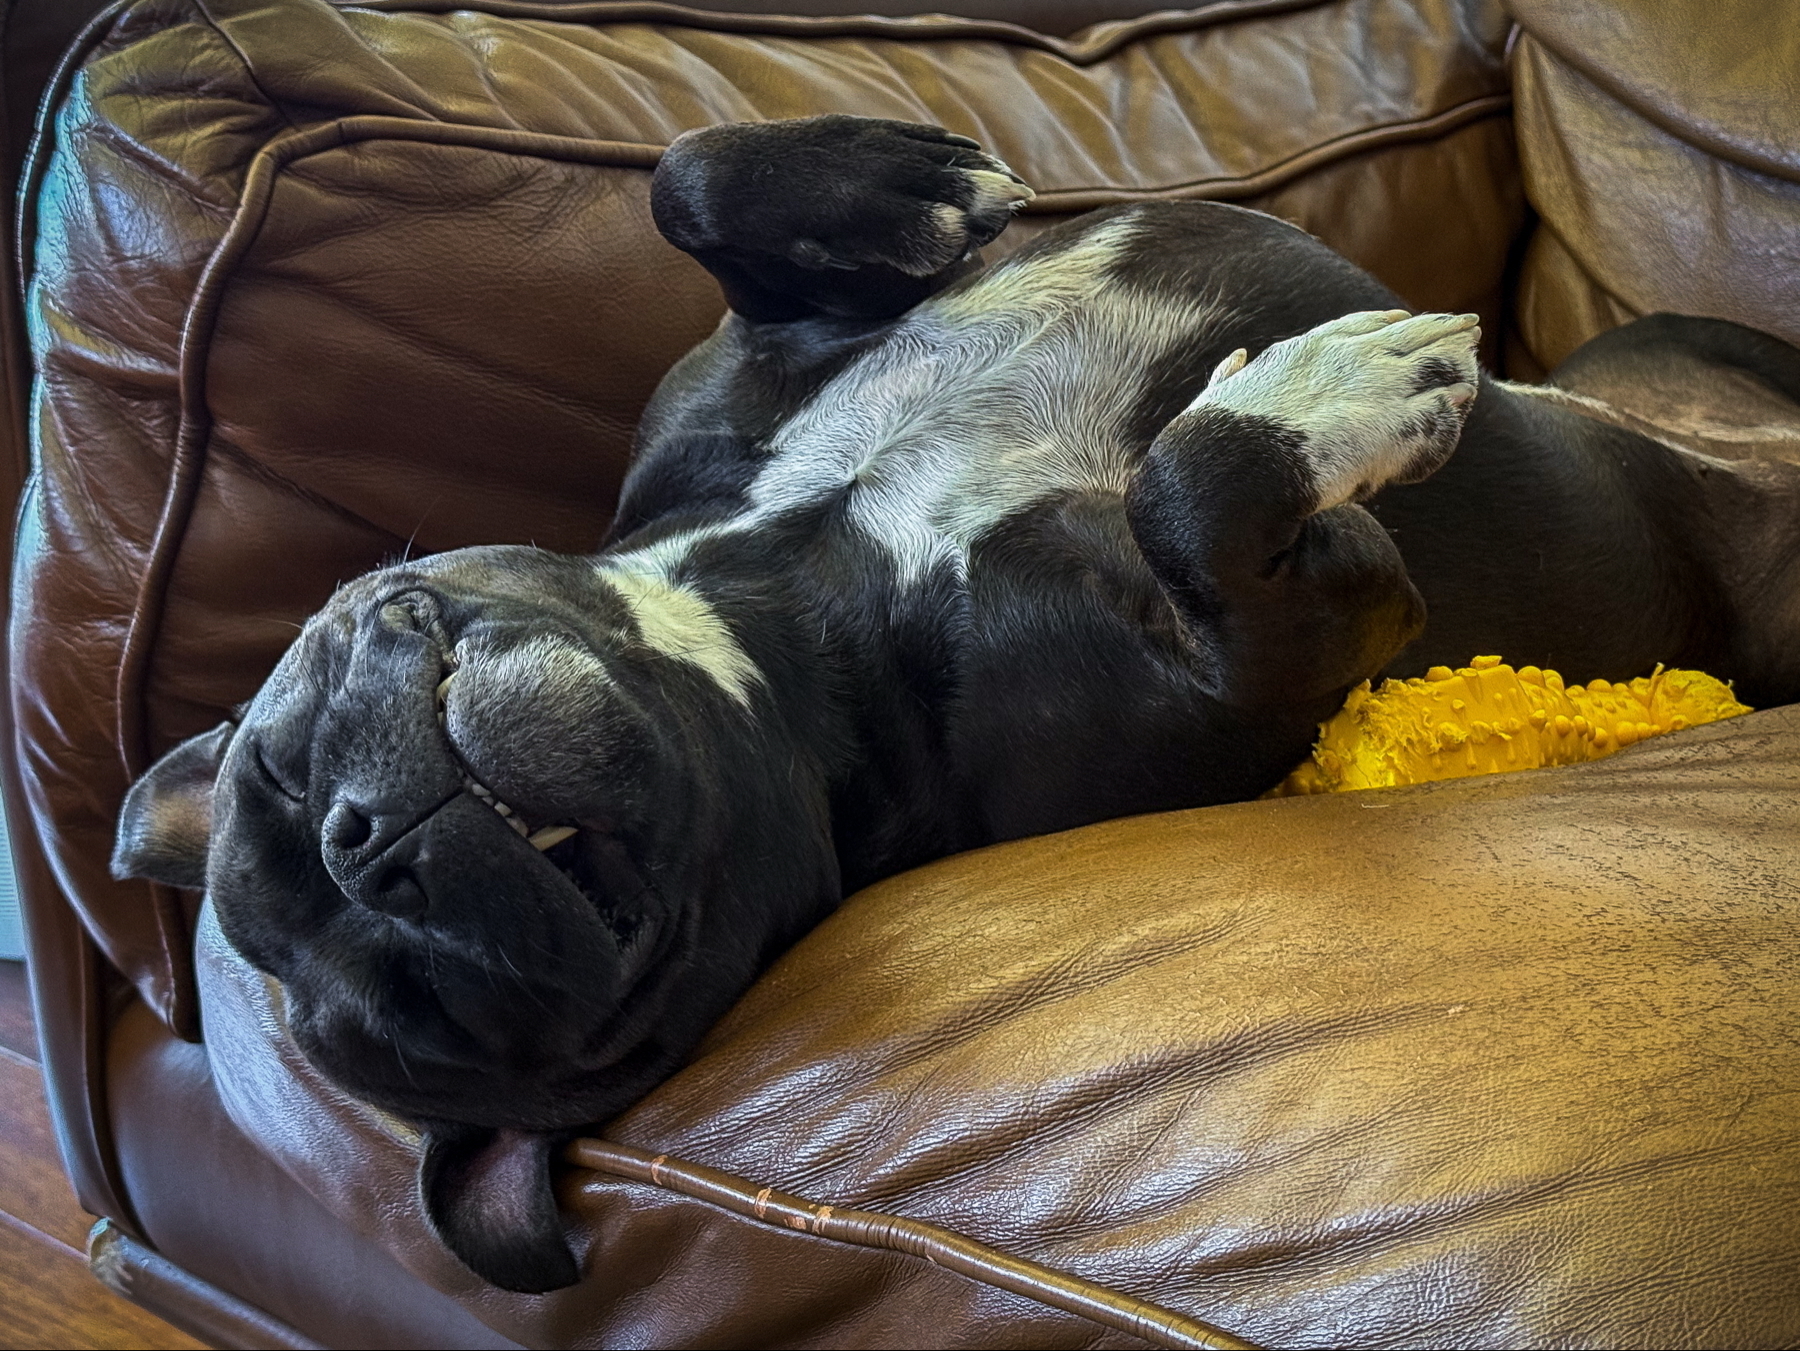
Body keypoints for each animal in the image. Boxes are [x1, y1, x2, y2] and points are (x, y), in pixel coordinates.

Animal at [108, 113, 1800, 1288]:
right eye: (435, 1007)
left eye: (277, 776)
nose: (370, 837)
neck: (773, 600)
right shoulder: (1292, 649)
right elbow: (1193, 477)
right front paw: (1328, 396)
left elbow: (684, 170)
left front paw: (909, 184)